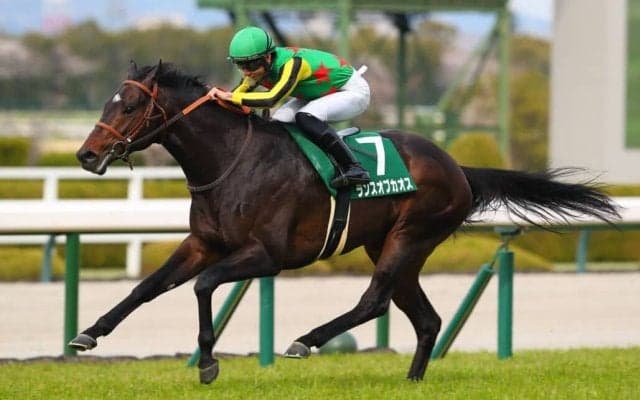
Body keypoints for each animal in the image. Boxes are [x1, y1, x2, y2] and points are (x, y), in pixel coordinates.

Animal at [72, 61, 619, 384]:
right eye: (107, 102)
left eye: (131, 104)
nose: (86, 155)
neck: (230, 162)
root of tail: (457, 167)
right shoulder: (203, 243)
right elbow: (147, 287)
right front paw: (88, 335)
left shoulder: (267, 256)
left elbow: (203, 285)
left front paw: (207, 362)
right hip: (393, 246)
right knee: (426, 318)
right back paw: (412, 381)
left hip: (410, 235)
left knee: (374, 300)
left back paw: (306, 341)